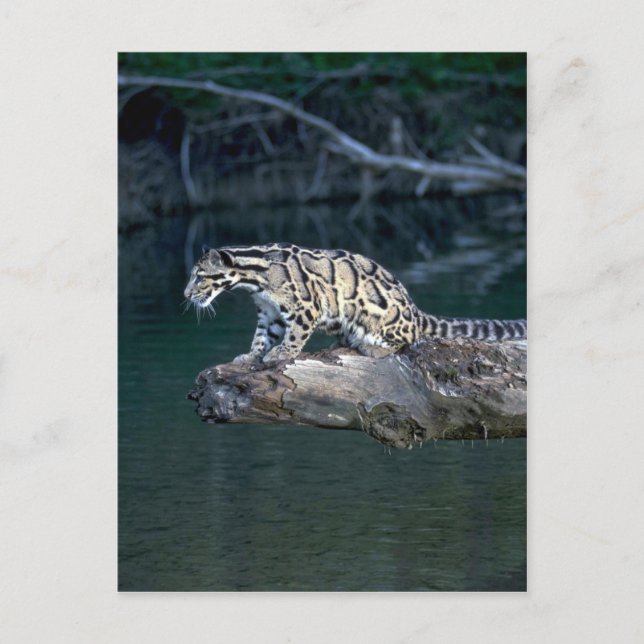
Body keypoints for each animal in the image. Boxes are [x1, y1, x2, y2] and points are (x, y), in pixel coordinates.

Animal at [183, 243, 527, 365]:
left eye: (199, 277)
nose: (186, 295)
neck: (254, 279)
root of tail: (415, 311)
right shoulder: (269, 314)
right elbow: (261, 337)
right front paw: (252, 355)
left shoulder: (306, 306)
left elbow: (295, 336)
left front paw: (282, 353)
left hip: (377, 316)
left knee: (408, 340)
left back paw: (372, 346)